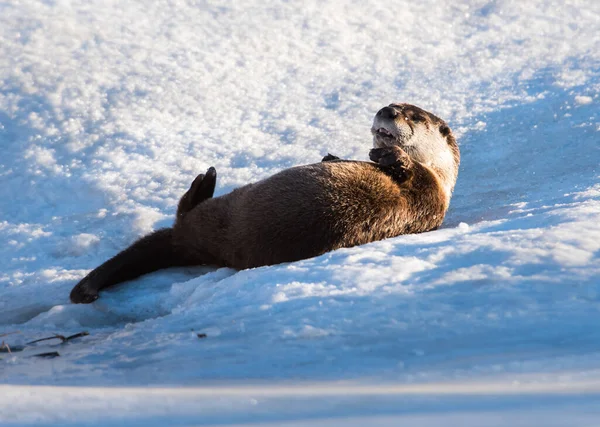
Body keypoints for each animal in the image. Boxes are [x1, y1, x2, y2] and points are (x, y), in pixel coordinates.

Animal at [71, 103, 464, 304]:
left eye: (414, 115)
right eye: (391, 105)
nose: (388, 111)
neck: (440, 175)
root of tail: (186, 240)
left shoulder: (430, 193)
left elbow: (411, 176)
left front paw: (389, 156)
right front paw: (335, 155)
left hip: (223, 208)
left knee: (185, 209)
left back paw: (207, 180)